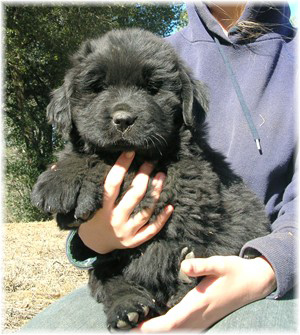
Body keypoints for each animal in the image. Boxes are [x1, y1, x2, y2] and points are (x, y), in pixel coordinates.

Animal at [32, 28, 270, 330]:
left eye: (152, 88)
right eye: (98, 87)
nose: (123, 119)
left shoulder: (185, 183)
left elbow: (114, 168)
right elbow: (88, 155)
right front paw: (59, 181)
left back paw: (181, 281)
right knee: (108, 282)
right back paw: (128, 308)